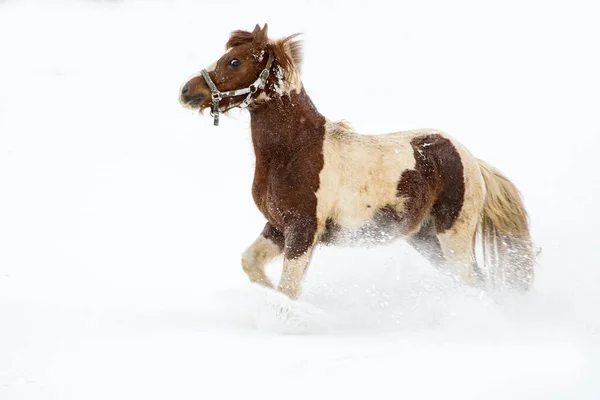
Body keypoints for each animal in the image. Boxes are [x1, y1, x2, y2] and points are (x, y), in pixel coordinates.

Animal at [179, 24, 536, 300]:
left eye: (234, 61)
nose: (187, 91)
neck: (294, 151)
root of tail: (472, 161)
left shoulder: (302, 231)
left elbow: (288, 292)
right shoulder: (278, 227)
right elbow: (251, 264)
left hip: (453, 236)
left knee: (472, 281)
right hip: (426, 240)